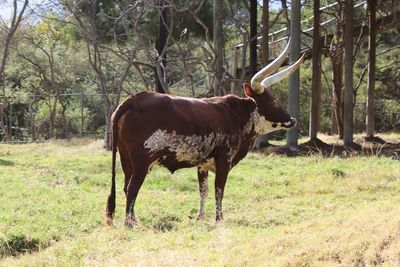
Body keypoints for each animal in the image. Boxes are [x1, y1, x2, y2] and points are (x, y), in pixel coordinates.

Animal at [106, 39, 304, 228]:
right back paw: (129, 223)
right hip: (142, 161)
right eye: (272, 101)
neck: (237, 115)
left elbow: (203, 190)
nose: (292, 119)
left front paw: (200, 217)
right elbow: (219, 190)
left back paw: (134, 220)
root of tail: (132, 100)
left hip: (126, 160)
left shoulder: (202, 164)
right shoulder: (224, 160)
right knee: (132, 189)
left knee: (126, 187)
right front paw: (219, 219)